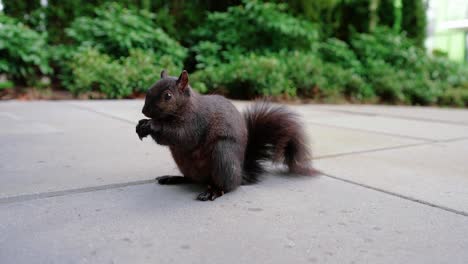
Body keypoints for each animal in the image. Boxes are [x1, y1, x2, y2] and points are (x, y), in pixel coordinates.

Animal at [137, 69, 316, 200]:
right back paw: (174, 178)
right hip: (185, 163)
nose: (144, 111)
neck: (185, 106)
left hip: (222, 154)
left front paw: (151, 125)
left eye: (168, 96)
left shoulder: (196, 121)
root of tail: (240, 175)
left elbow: (182, 136)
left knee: (227, 186)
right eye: (148, 89)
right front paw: (141, 124)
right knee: (192, 178)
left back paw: (214, 191)